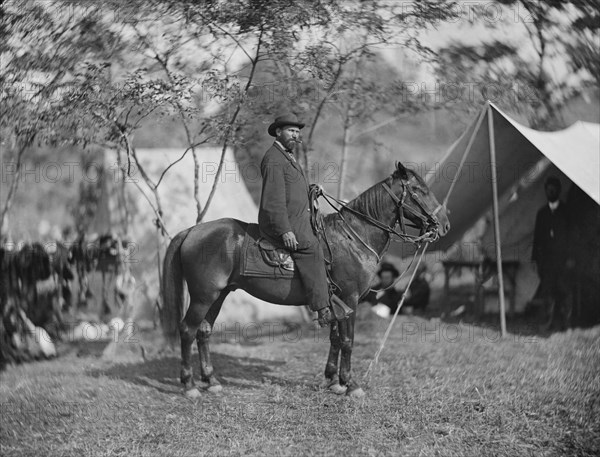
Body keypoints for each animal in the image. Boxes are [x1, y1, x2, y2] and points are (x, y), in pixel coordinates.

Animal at [162, 162, 448, 398]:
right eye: (417, 190)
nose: (444, 224)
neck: (353, 236)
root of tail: (192, 231)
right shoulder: (349, 299)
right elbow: (347, 341)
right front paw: (350, 384)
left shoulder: (336, 302)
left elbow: (335, 338)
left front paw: (332, 380)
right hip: (203, 296)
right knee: (187, 330)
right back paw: (189, 385)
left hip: (218, 295)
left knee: (203, 331)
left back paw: (210, 380)